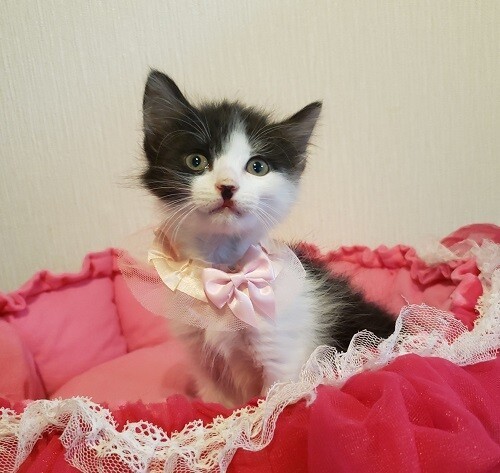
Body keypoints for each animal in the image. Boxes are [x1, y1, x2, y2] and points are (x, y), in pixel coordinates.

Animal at [140, 69, 395, 407]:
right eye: (196, 161)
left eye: (257, 167)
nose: (227, 186)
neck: (227, 274)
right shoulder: (203, 360)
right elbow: (217, 406)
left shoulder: (283, 356)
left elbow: (273, 403)